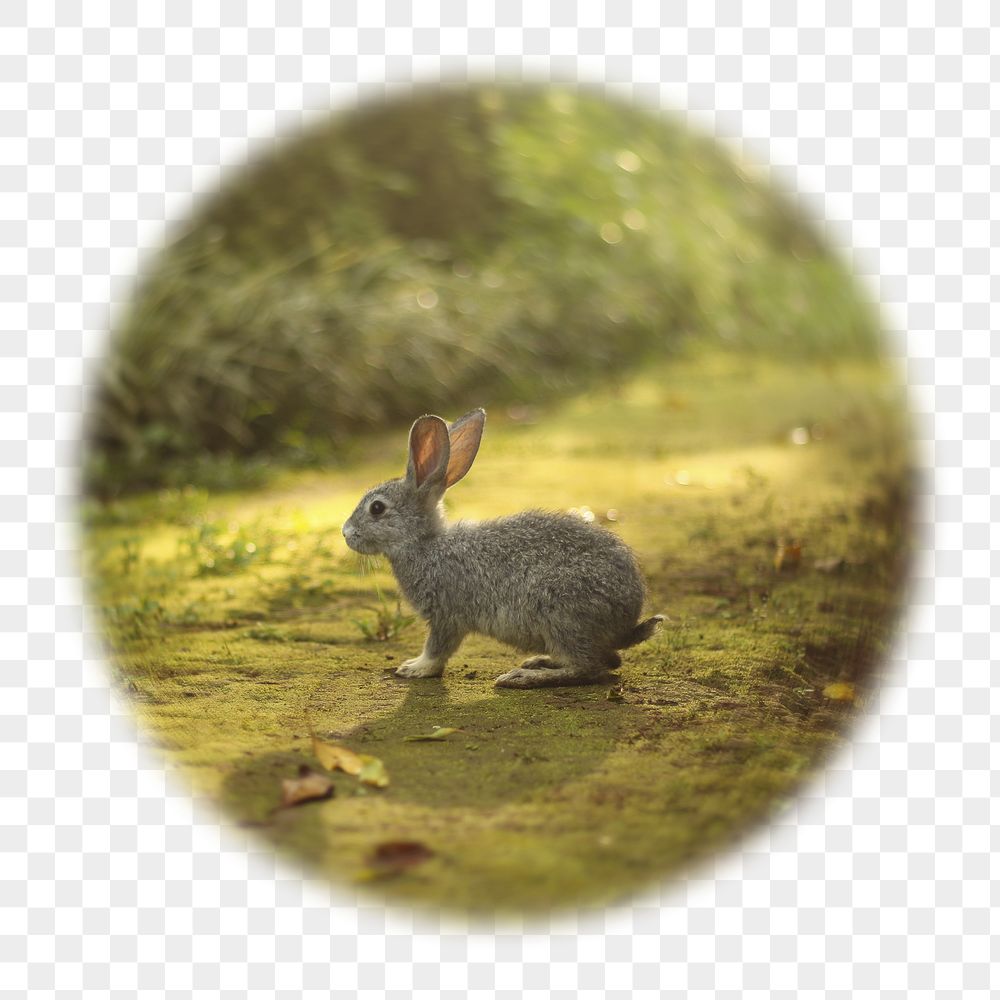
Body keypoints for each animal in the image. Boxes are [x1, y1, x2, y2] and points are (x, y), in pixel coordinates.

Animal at [341, 408, 663, 688]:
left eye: (377, 508)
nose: (346, 533)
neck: (425, 544)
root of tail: (626, 622)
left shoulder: (447, 614)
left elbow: (438, 648)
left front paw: (415, 668)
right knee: (608, 661)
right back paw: (539, 661)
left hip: (562, 614)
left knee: (591, 667)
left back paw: (524, 677)